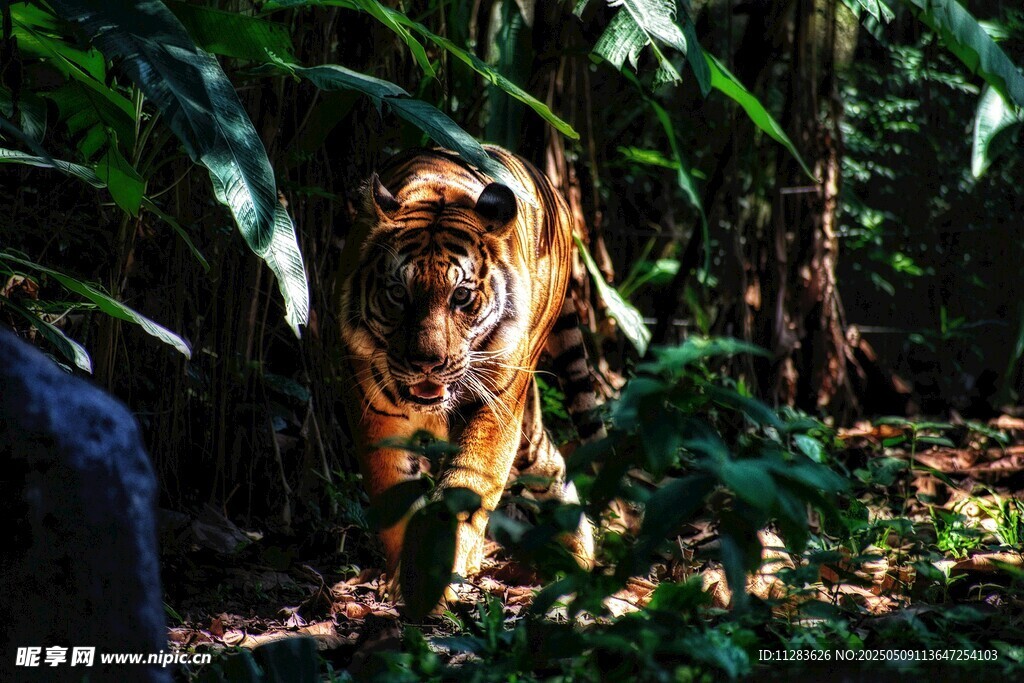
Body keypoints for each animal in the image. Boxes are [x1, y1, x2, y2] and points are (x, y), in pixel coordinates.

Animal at [338, 146, 605, 600]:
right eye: (398, 293)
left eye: (460, 296)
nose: (426, 362)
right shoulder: (375, 417)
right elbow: (395, 496)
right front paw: (407, 582)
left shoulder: (495, 410)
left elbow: (466, 490)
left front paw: (432, 577)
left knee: (545, 462)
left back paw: (578, 557)